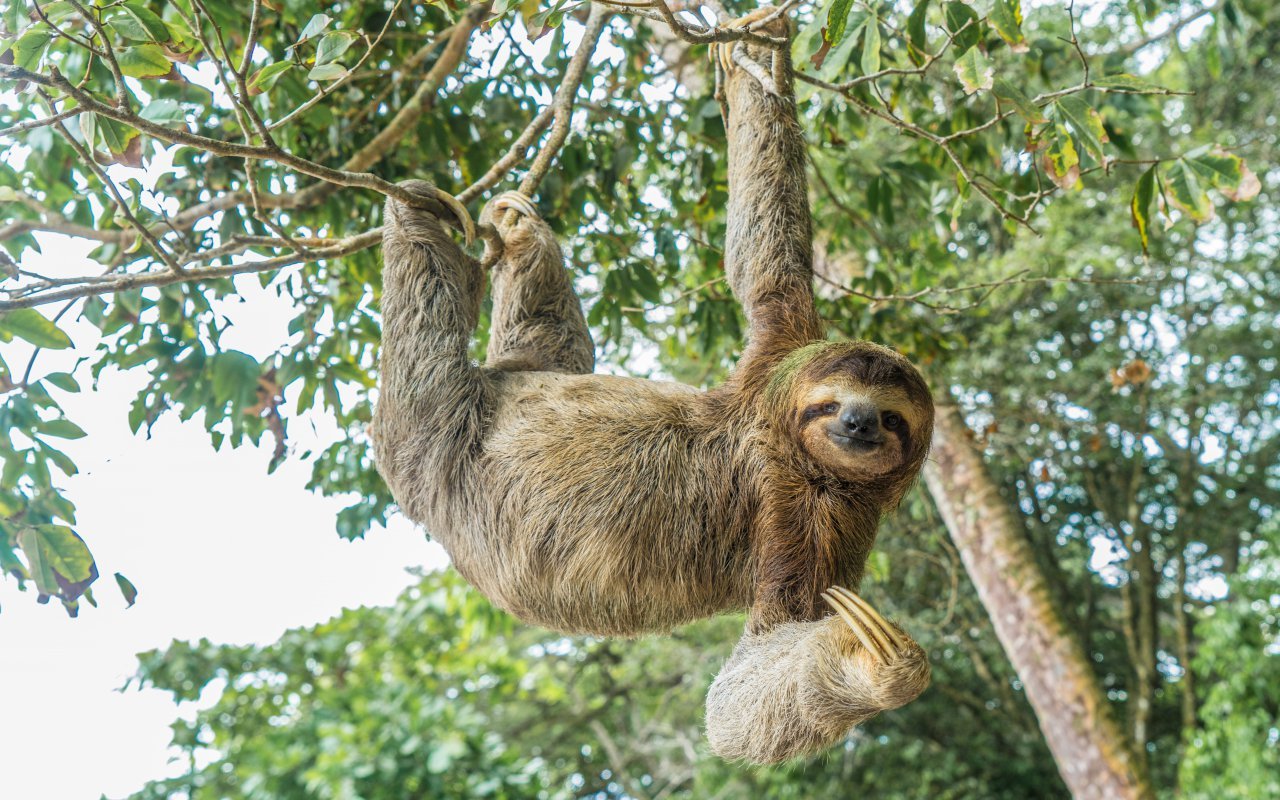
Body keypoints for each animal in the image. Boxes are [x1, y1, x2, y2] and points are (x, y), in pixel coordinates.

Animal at [372, 10, 933, 765]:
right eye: (832, 403)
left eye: (892, 418)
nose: (857, 425)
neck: (777, 437)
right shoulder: (783, 354)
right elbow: (766, 259)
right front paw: (756, 53)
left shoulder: (821, 516)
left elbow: (750, 677)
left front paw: (873, 661)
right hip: (508, 384)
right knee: (548, 344)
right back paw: (519, 231)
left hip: (429, 443)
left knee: (429, 337)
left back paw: (422, 225)